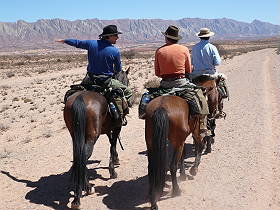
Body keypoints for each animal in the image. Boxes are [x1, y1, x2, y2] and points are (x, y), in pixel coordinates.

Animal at [63, 70, 129, 208]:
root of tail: (79, 99)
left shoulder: (108, 129)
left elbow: (111, 143)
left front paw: (115, 160)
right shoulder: (117, 127)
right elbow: (113, 145)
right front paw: (112, 171)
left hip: (75, 135)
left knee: (78, 157)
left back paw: (83, 189)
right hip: (91, 137)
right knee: (83, 157)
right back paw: (80, 195)